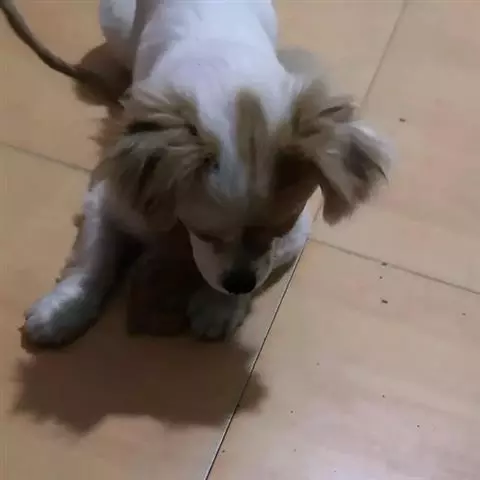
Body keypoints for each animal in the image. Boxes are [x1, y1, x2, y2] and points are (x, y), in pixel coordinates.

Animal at [16, 0, 392, 346]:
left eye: (278, 231)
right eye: (205, 233)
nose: (239, 281)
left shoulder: (296, 233)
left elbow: (266, 263)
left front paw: (219, 306)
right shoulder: (110, 198)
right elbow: (93, 258)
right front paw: (63, 310)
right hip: (115, 23)